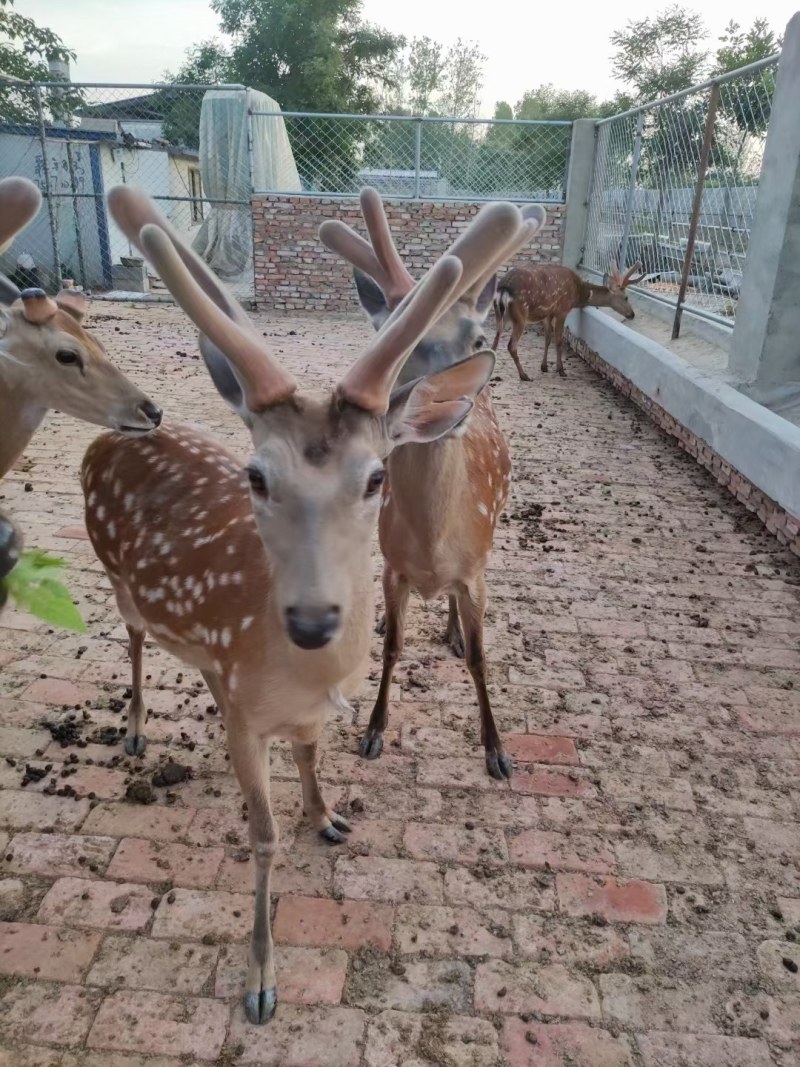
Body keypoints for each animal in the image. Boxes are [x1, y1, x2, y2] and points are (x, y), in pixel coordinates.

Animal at [318, 190, 547, 780]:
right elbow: (393, 648)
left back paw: (452, 631)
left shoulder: (475, 571)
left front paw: (497, 751)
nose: (450, 399)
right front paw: (373, 731)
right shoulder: (392, 566)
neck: (431, 547)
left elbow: (482, 657)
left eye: (478, 337)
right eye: (392, 341)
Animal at [492, 259, 644, 380]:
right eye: (626, 297)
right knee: (511, 345)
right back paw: (524, 375)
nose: (632, 314)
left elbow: (548, 339)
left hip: (499, 314)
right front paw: (561, 370)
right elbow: (559, 341)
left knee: (494, 342)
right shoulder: (562, 310)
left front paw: (544, 367)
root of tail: (504, 287)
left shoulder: (548, 313)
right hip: (521, 315)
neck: (579, 294)